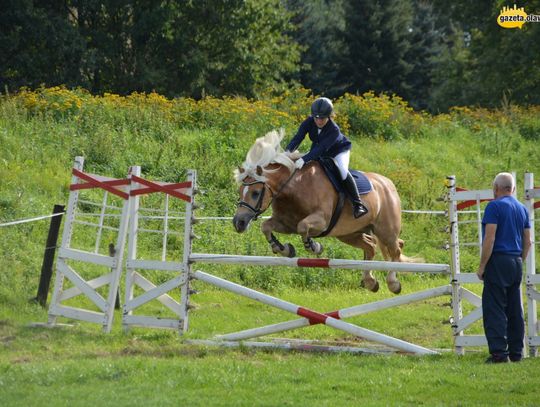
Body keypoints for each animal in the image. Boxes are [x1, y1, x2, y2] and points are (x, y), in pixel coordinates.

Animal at [232, 131, 414, 294]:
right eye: (240, 191)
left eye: (255, 193)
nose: (238, 223)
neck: (294, 188)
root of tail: (388, 183)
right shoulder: (286, 223)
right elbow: (266, 226)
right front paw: (284, 249)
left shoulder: (321, 221)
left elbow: (303, 226)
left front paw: (315, 247)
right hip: (349, 233)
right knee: (371, 246)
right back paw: (370, 282)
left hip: (386, 230)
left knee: (396, 248)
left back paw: (393, 284)